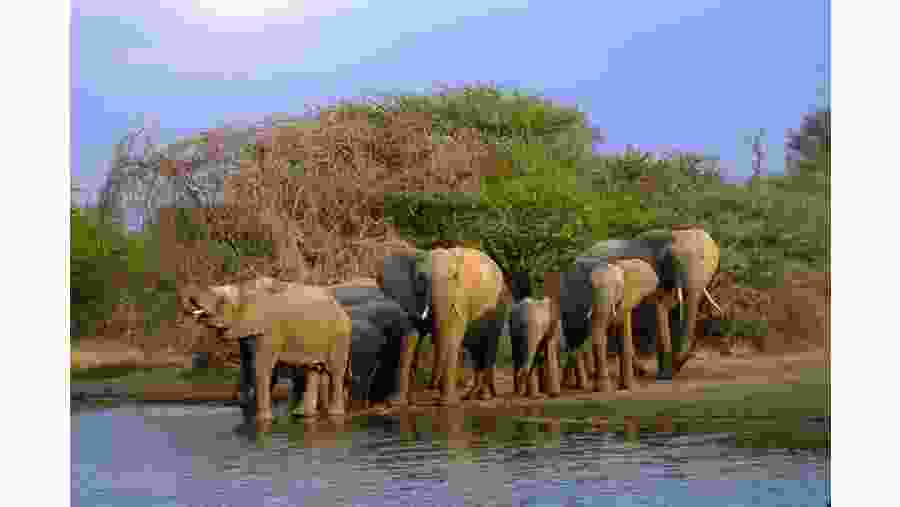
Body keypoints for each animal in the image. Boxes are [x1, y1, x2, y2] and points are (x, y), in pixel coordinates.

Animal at [182, 281, 353, 428]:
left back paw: (335, 415)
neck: (243, 288)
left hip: (339, 336)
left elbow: (262, 367)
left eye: (221, 300)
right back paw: (304, 415)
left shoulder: (269, 331)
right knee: (313, 370)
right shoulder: (246, 332)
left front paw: (263, 420)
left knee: (335, 372)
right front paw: (251, 414)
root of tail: (341, 308)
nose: (190, 298)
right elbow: (248, 364)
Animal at [376, 247, 512, 406]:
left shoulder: (460, 299)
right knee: (476, 351)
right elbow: (409, 337)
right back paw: (469, 396)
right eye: (421, 279)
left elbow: (452, 337)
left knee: (489, 346)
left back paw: (484, 396)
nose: (431, 386)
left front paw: (447, 403)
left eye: (454, 278)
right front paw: (396, 403)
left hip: (499, 306)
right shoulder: (412, 297)